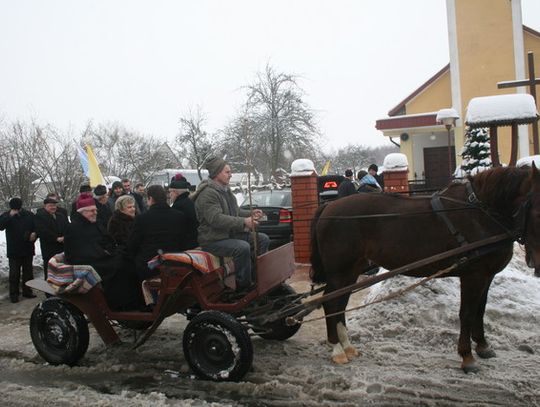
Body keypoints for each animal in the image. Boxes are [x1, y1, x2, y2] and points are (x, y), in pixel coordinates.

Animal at [310, 166, 540, 372]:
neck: (479, 213)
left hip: (350, 271)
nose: (536, 264)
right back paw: (337, 349)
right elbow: (467, 313)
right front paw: (467, 357)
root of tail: (328, 208)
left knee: (339, 304)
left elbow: (480, 310)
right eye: (537, 210)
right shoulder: (472, 276)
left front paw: (483, 346)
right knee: (330, 303)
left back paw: (347, 346)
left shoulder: (486, 274)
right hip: (340, 271)